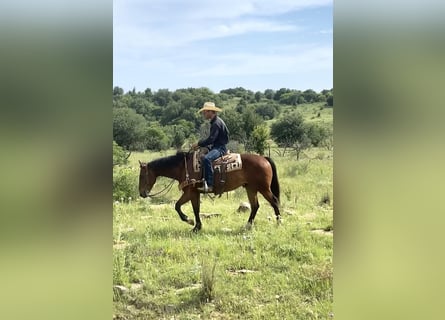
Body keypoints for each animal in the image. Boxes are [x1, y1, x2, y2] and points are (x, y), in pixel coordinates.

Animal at [138, 151, 280, 231]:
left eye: (142, 176)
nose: (141, 193)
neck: (183, 168)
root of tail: (264, 158)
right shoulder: (194, 193)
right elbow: (196, 209)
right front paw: (197, 226)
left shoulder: (190, 192)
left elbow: (177, 206)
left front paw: (189, 221)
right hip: (251, 188)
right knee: (255, 206)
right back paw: (248, 226)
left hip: (263, 188)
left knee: (274, 202)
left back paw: (279, 222)